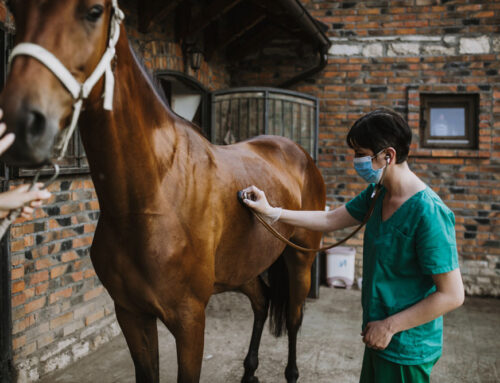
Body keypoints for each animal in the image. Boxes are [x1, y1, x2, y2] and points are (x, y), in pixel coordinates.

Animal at [0, 1, 324, 382]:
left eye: (93, 11)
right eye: (16, 9)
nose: (20, 122)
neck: (152, 199)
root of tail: (297, 152)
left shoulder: (190, 320)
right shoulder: (131, 313)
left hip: (300, 259)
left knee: (293, 318)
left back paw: (290, 371)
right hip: (242, 269)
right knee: (261, 302)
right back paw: (249, 371)